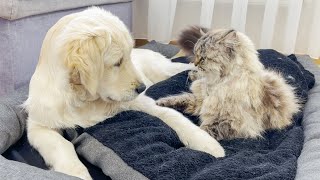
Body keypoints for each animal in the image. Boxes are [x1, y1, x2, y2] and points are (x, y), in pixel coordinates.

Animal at [24, 7, 225, 180]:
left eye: (128, 58)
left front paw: (208, 143)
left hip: (164, 70)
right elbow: (60, 145)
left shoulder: (143, 102)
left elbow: (174, 117)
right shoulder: (39, 124)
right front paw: (76, 173)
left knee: (184, 67)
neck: (86, 100)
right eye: (118, 62)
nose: (142, 88)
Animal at [157, 27, 300, 141]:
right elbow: (179, 98)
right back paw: (192, 74)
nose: (195, 63)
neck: (215, 83)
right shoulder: (200, 100)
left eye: (203, 58)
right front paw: (159, 103)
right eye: (195, 54)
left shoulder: (234, 123)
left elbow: (205, 130)